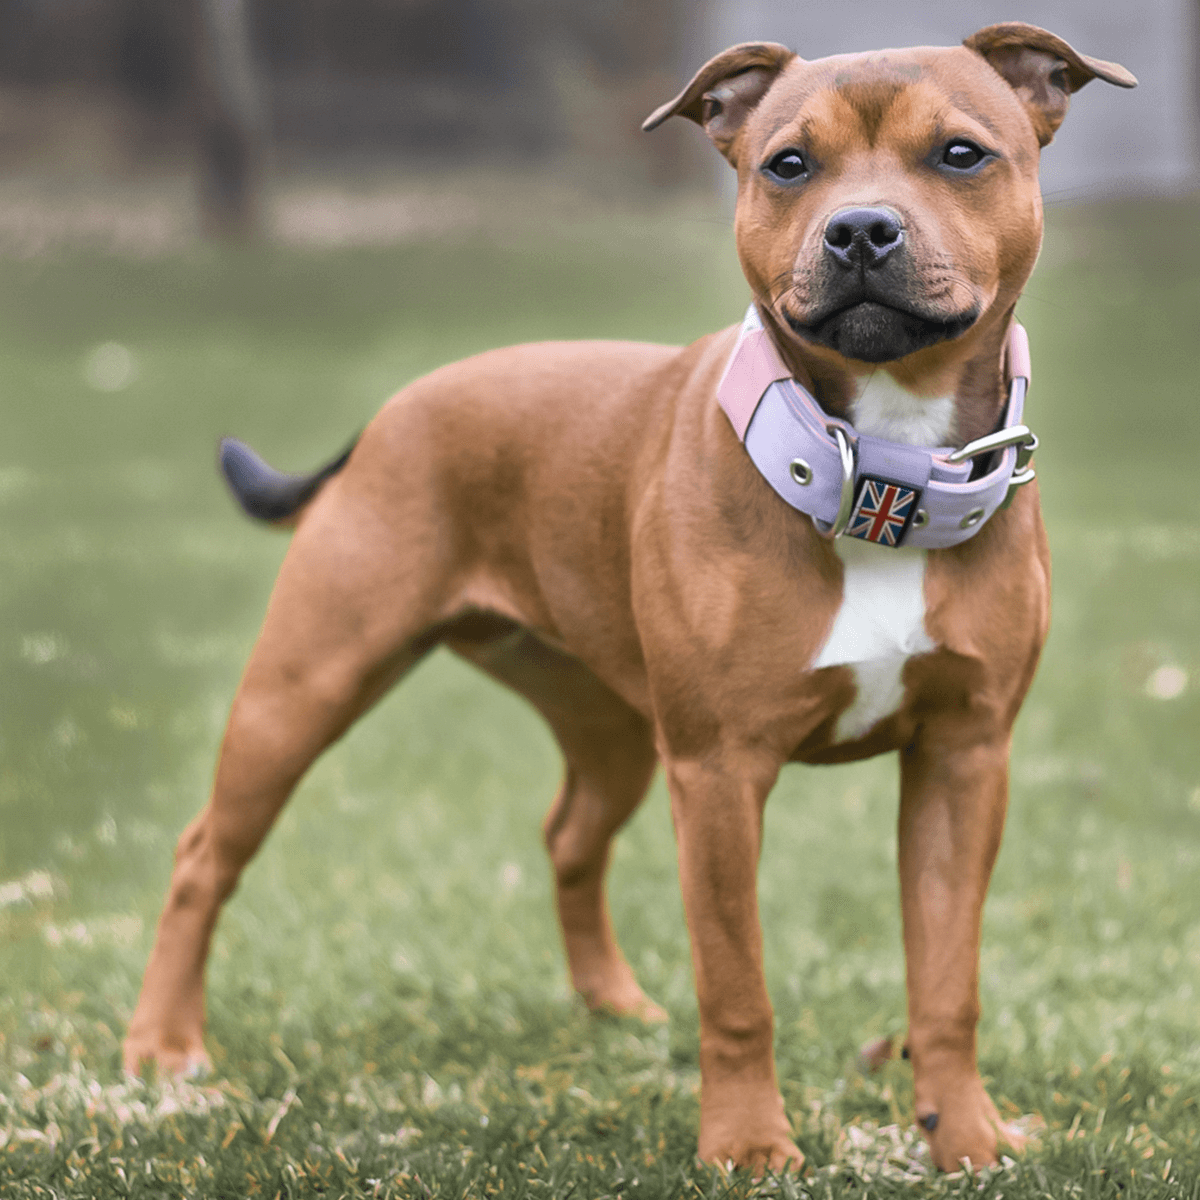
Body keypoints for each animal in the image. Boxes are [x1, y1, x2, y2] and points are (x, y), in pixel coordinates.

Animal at [126, 25, 1137, 1171]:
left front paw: (962, 1135)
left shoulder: (962, 759)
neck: (874, 466)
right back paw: (163, 1046)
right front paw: (747, 1147)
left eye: (961, 154)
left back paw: (611, 1008)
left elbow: (947, 980)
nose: (860, 230)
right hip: (302, 690)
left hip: (609, 728)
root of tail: (395, 408)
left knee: (570, 835)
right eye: (789, 164)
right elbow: (737, 985)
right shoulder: (721, 775)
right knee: (205, 854)